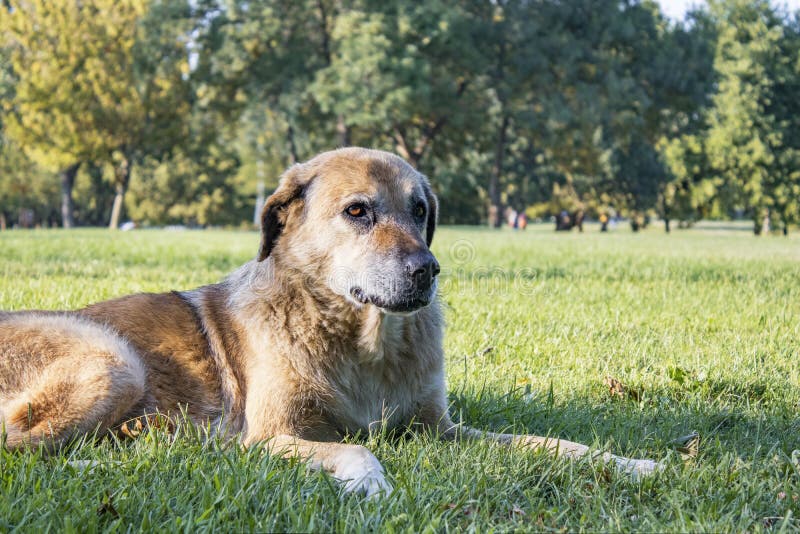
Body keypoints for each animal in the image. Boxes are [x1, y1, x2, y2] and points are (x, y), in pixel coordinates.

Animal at [0, 147, 664, 498]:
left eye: (420, 210)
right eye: (358, 212)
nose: (427, 270)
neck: (362, 342)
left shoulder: (439, 428)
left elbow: (551, 443)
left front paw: (627, 462)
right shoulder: (271, 436)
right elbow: (355, 449)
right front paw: (373, 483)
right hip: (112, 359)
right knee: (21, 443)